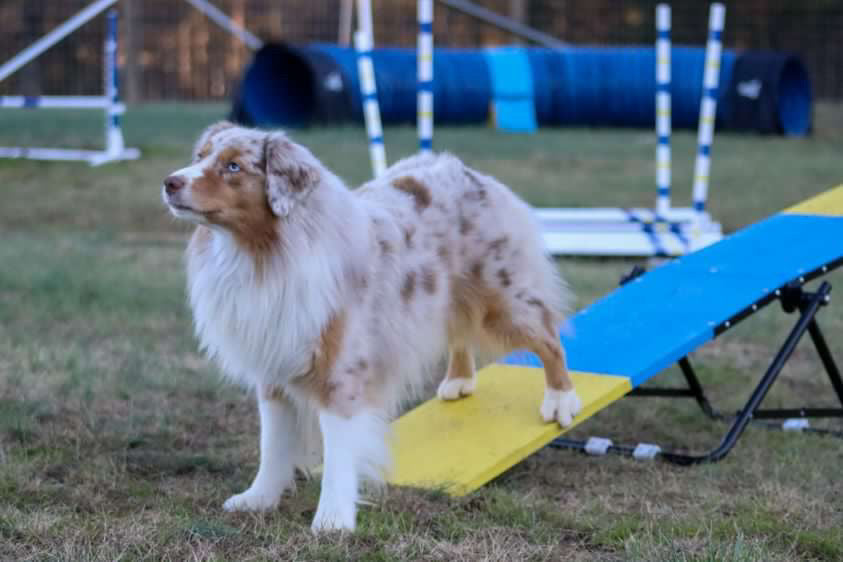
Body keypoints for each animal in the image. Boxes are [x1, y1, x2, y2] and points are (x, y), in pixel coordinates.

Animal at [162, 121, 584, 528]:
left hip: (504, 299)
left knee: (549, 337)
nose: (170, 182)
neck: (262, 253)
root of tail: (466, 171)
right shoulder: (273, 367)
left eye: (233, 166)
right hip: (445, 295)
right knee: (460, 330)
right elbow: (273, 444)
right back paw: (458, 381)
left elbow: (338, 452)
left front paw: (333, 519)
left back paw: (560, 400)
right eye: (199, 156)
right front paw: (258, 498)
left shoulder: (341, 370)